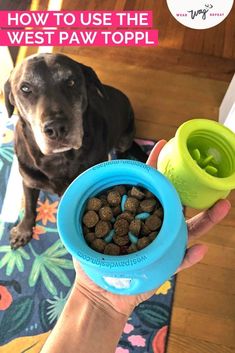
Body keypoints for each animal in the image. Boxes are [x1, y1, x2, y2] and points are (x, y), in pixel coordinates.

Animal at [3, 53, 146, 249]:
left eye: (71, 82)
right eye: (25, 88)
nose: (56, 128)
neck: (59, 158)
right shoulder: (28, 181)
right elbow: (30, 207)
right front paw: (23, 230)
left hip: (125, 137)